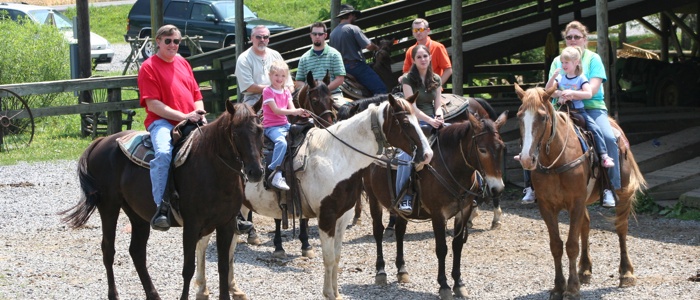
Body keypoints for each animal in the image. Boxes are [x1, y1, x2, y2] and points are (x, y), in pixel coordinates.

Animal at [60, 101, 266, 300]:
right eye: (235, 132)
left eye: (260, 130)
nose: (255, 171)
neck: (213, 169)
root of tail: (101, 141)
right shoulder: (192, 225)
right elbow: (188, 269)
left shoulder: (227, 224)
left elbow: (224, 266)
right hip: (109, 206)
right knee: (108, 250)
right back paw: (114, 295)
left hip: (137, 214)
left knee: (137, 252)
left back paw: (153, 295)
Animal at [364, 110, 506, 300]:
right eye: (482, 149)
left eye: (502, 147)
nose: (498, 188)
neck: (450, 169)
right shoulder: (438, 215)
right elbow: (442, 249)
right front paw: (444, 286)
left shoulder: (464, 211)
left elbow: (457, 246)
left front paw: (459, 284)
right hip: (374, 199)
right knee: (378, 232)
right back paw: (381, 271)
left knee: (400, 232)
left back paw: (402, 270)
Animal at [516, 84, 644, 300]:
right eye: (519, 116)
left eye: (542, 117)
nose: (526, 159)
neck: (556, 161)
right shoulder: (547, 206)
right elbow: (556, 245)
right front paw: (558, 287)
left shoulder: (575, 202)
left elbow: (571, 245)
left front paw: (572, 289)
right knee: (586, 225)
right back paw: (584, 270)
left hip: (623, 193)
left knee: (621, 228)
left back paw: (626, 273)